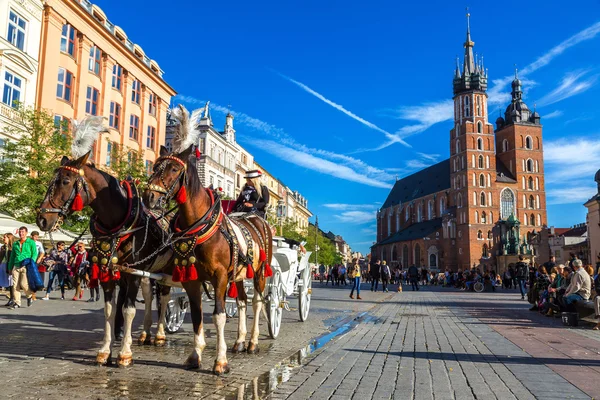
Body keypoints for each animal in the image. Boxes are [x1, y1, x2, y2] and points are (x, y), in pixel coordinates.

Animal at [36, 152, 173, 366]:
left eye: (65, 181)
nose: (42, 219)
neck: (118, 225)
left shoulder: (133, 274)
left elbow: (128, 310)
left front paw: (125, 353)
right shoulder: (108, 272)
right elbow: (110, 309)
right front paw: (104, 351)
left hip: (165, 271)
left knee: (165, 297)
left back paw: (159, 334)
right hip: (147, 272)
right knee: (150, 296)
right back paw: (145, 333)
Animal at [143, 145, 272, 376]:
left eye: (174, 169)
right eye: (156, 167)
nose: (149, 196)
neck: (200, 226)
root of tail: (256, 219)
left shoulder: (219, 277)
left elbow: (219, 315)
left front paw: (221, 361)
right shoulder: (191, 279)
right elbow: (197, 315)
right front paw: (195, 356)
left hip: (259, 273)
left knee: (257, 303)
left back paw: (253, 343)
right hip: (240, 275)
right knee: (242, 302)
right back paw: (240, 341)